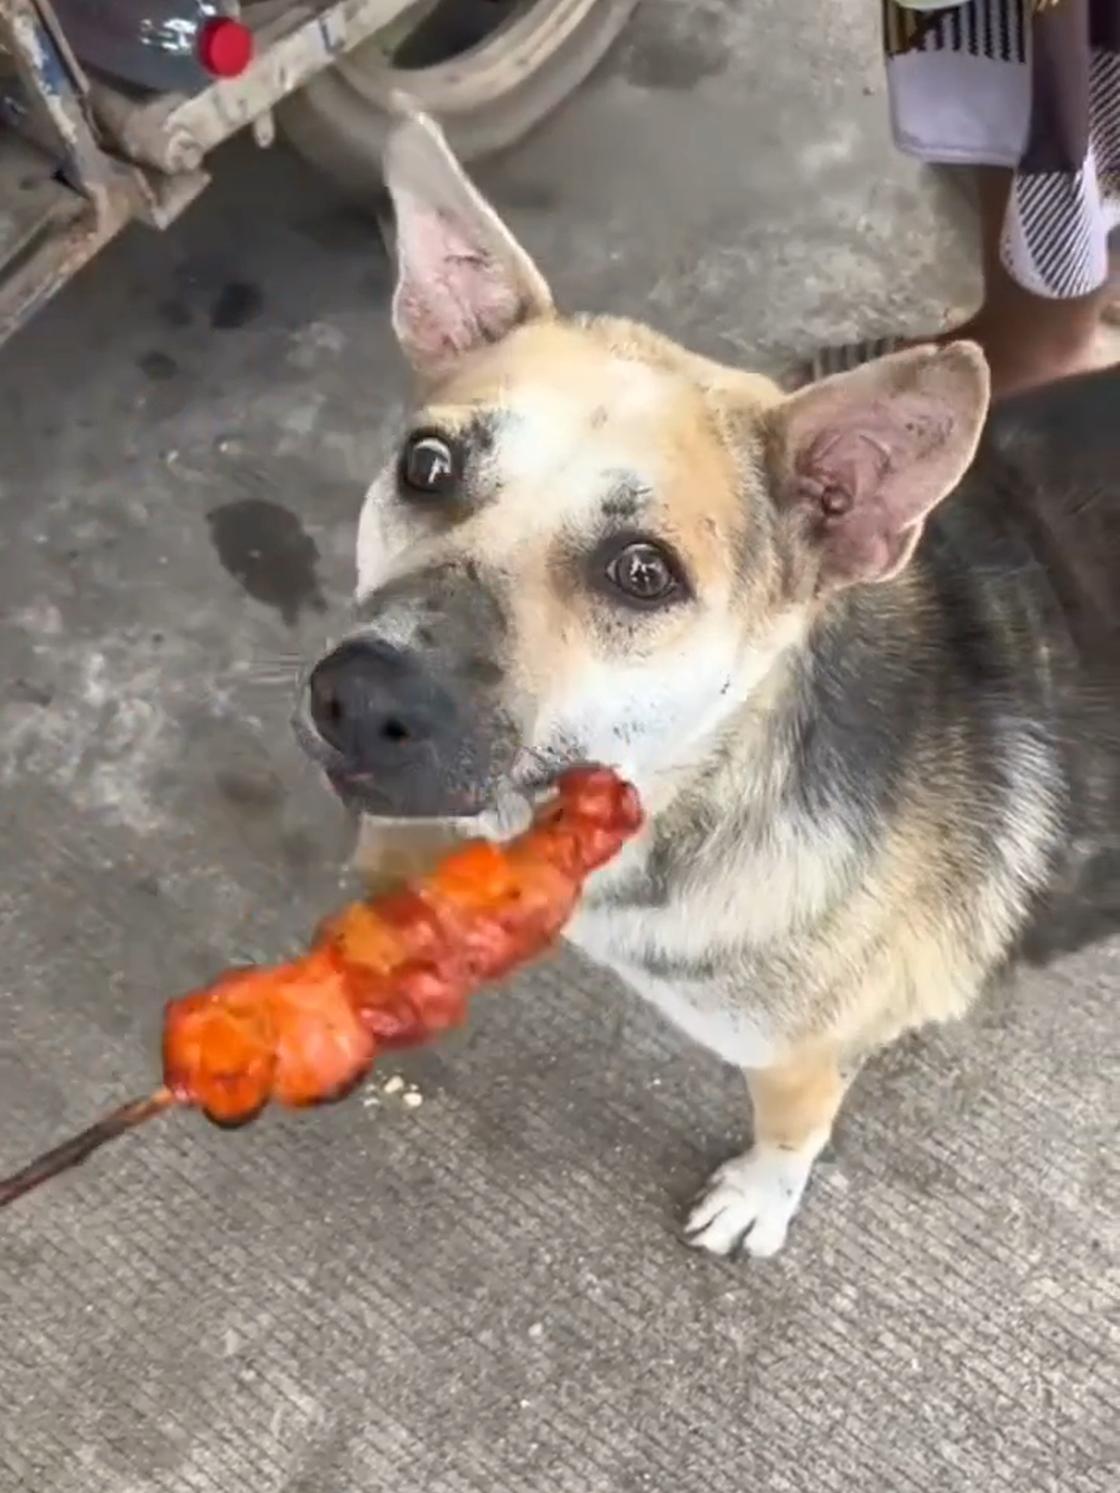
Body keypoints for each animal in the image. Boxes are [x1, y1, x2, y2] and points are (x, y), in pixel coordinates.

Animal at [295, 113, 1120, 1260]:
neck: (698, 790)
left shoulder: (800, 1055)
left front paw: (758, 1196)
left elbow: (792, 1127)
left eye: (643, 572)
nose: (360, 699)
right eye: (426, 467)